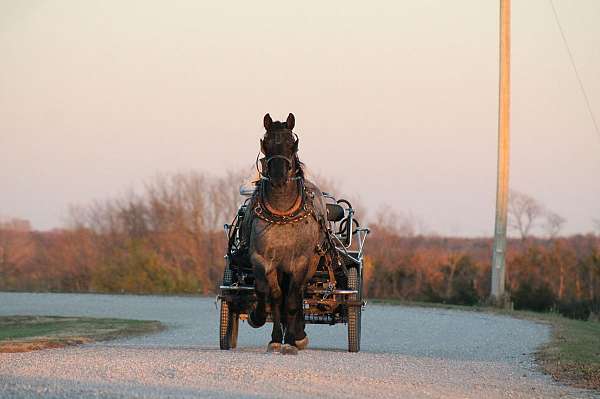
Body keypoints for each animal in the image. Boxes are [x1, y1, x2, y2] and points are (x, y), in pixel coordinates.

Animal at [245, 112, 328, 356]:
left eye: (293, 144)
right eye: (265, 144)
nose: (279, 177)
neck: (282, 214)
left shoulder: (300, 261)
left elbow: (291, 300)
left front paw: (292, 341)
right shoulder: (261, 259)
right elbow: (271, 295)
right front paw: (270, 332)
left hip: (311, 263)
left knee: (298, 294)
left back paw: (298, 335)